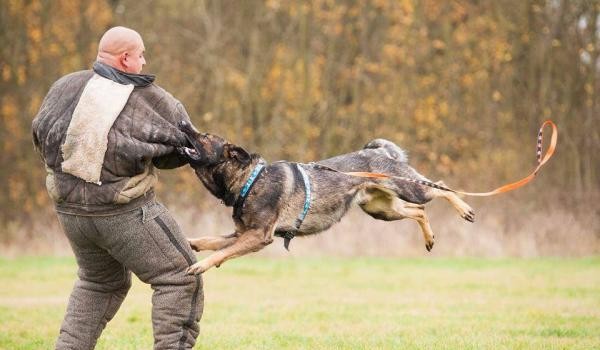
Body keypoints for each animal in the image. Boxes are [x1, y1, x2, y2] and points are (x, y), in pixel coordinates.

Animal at [176, 121, 476, 274]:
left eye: (204, 136)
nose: (182, 122)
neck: (250, 180)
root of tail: (379, 152)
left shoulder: (258, 236)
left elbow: (221, 252)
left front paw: (201, 266)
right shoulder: (241, 234)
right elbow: (210, 241)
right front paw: (191, 243)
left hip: (409, 189)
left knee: (440, 187)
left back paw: (465, 210)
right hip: (381, 210)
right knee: (419, 211)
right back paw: (429, 238)